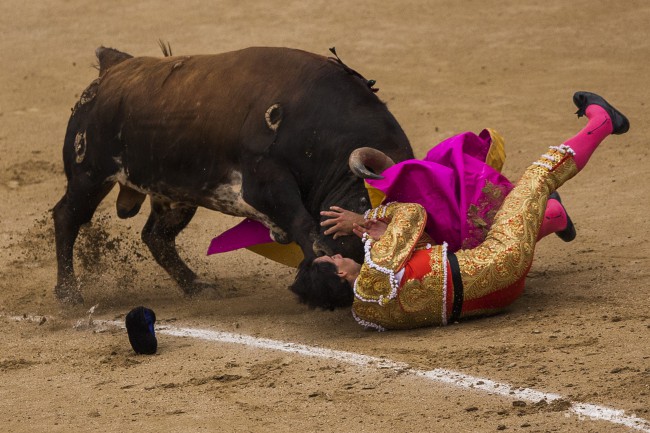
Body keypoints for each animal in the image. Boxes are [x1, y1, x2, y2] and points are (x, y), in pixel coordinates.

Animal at [53, 46, 412, 308]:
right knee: (67, 217)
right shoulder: (265, 183)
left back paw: (196, 287)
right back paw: (69, 294)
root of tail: (112, 69)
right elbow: (306, 227)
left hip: (176, 194)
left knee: (156, 236)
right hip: (90, 175)